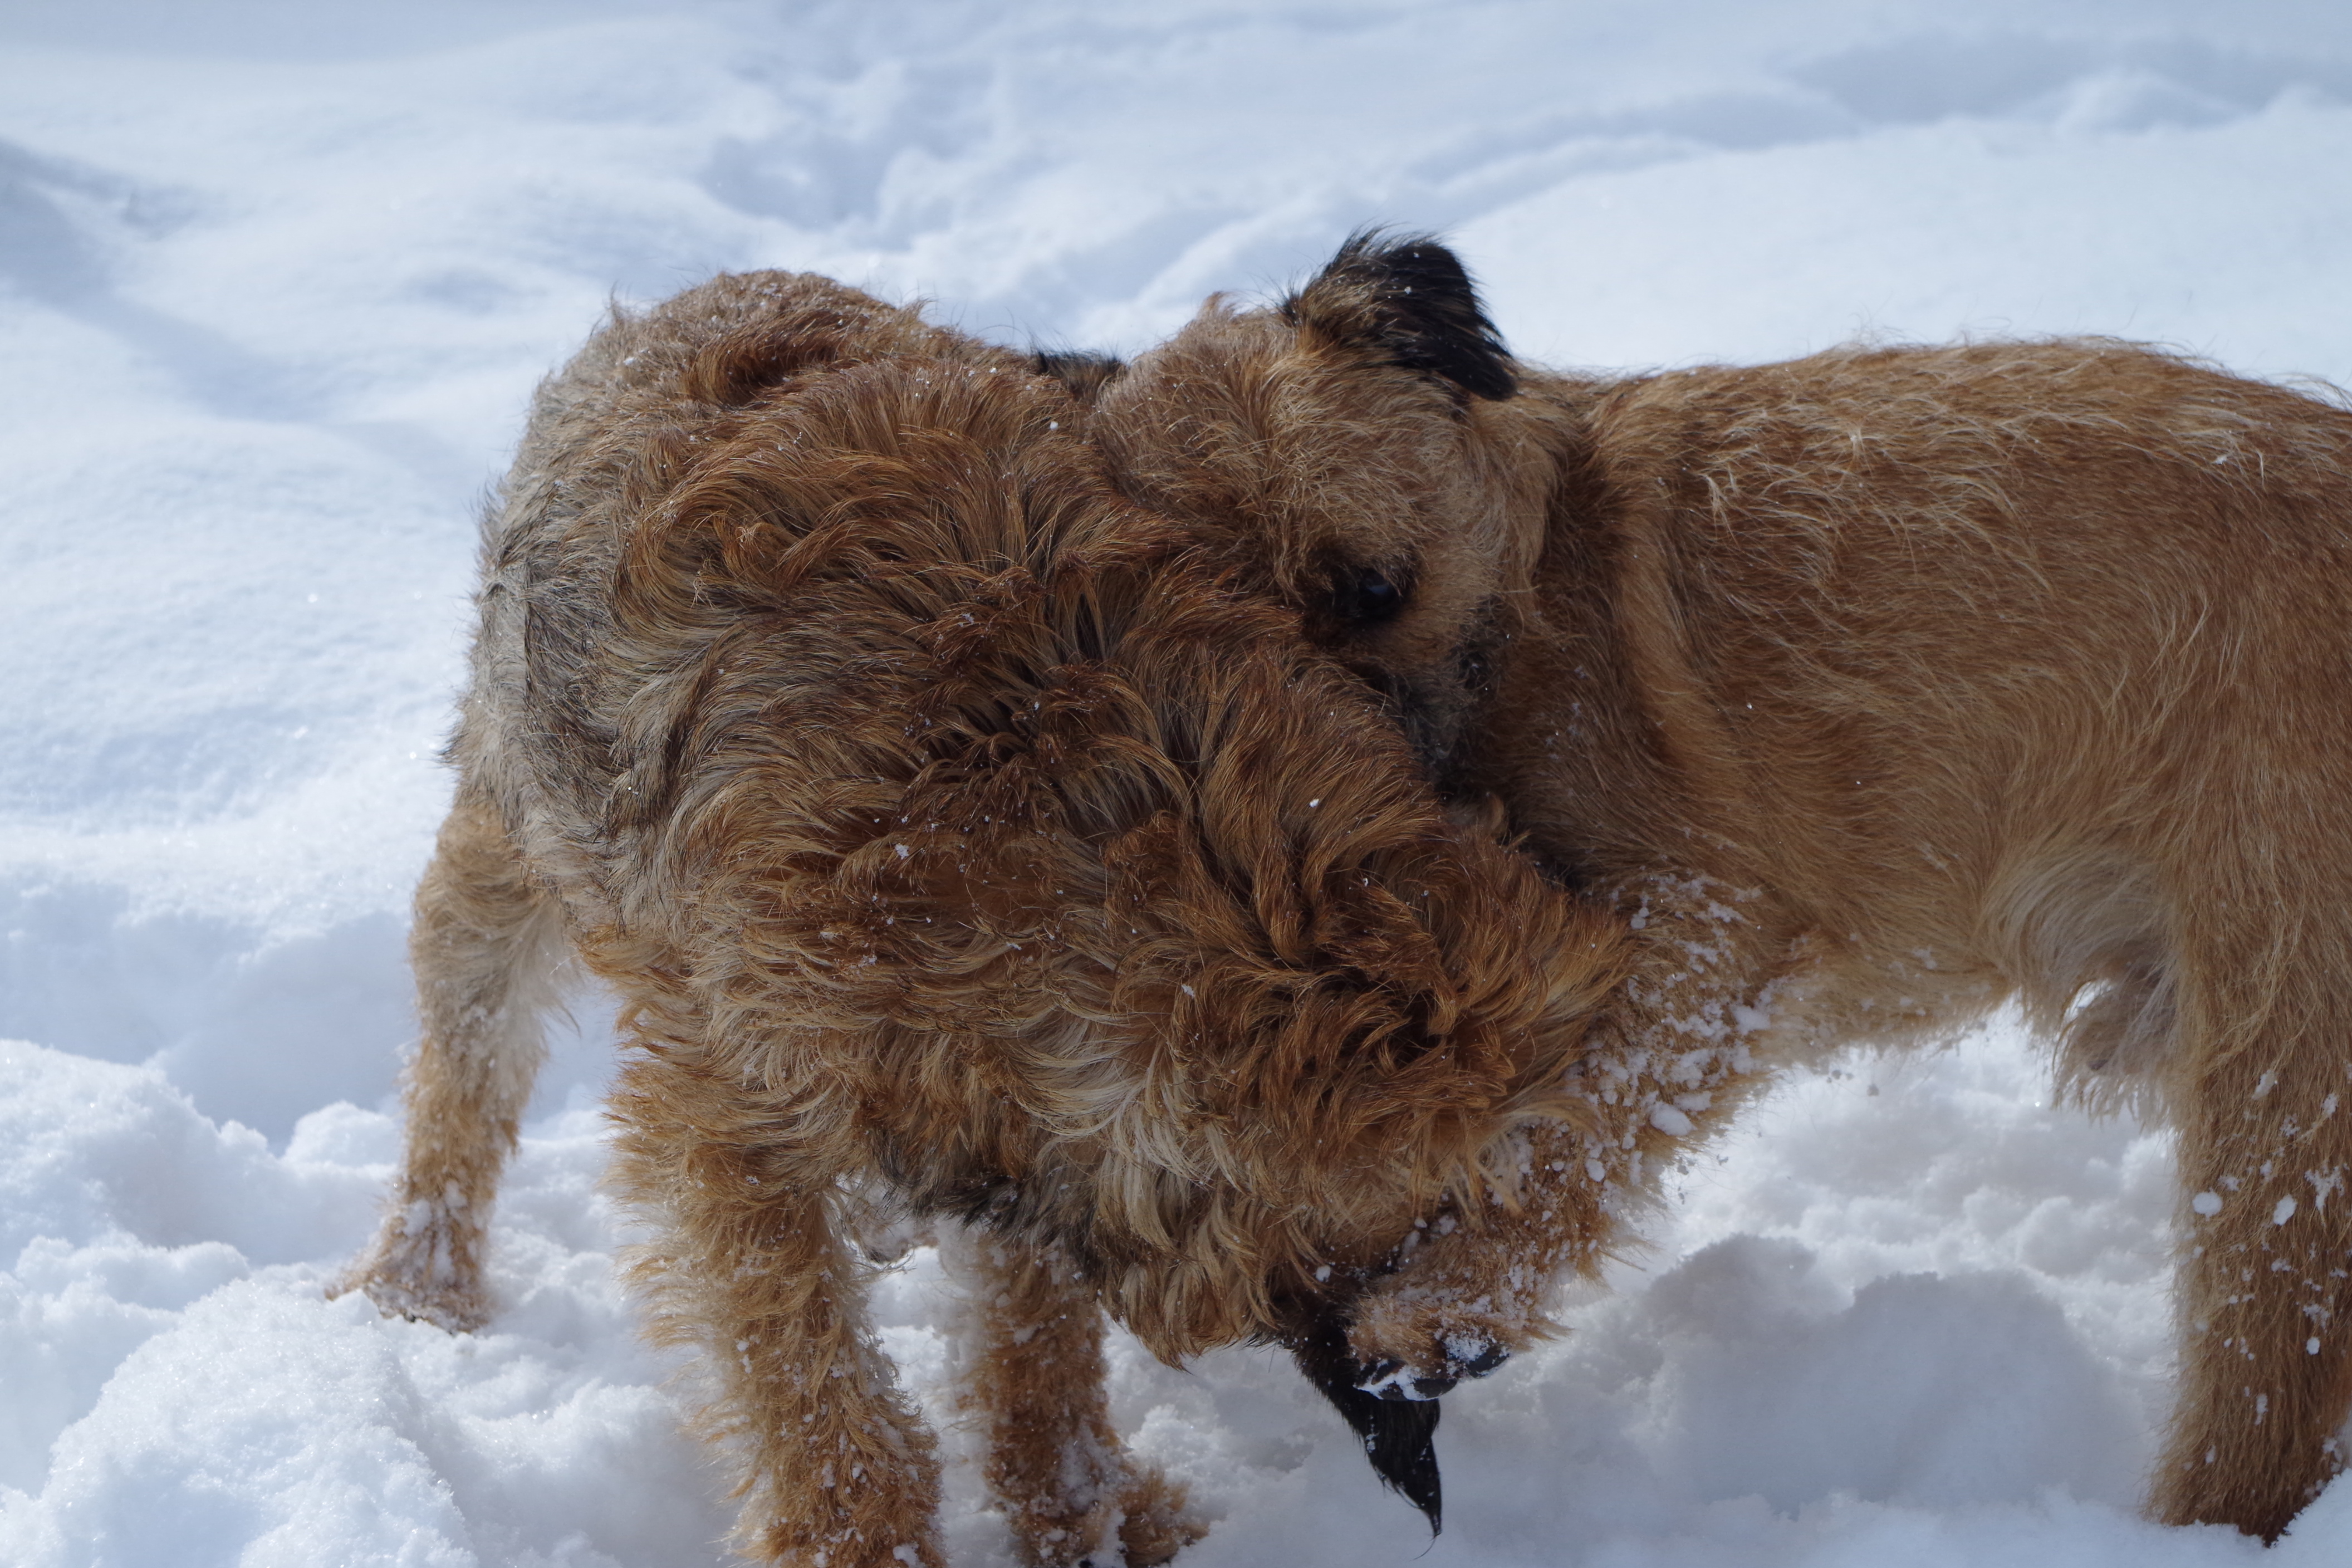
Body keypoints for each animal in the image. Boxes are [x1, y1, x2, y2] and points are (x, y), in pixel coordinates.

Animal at [341, 272, 1628, 1568]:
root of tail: (700, 295)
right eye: (1409, 1232)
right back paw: (418, 1282)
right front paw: (869, 1540)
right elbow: (806, 1374)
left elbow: (1031, 1333)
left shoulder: (1016, 1091)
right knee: (466, 1061)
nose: (1472, 1356)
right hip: (509, 837)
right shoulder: (733, 1116)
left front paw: (1084, 1508)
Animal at [1086, 230, 2352, 1542]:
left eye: (1375, 593)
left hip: (2281, 1064)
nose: (1330, 817)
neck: (1532, 572)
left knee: (2267, 1394)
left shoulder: (1699, 935)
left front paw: (1442, 1301)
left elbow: (1579, 1122)